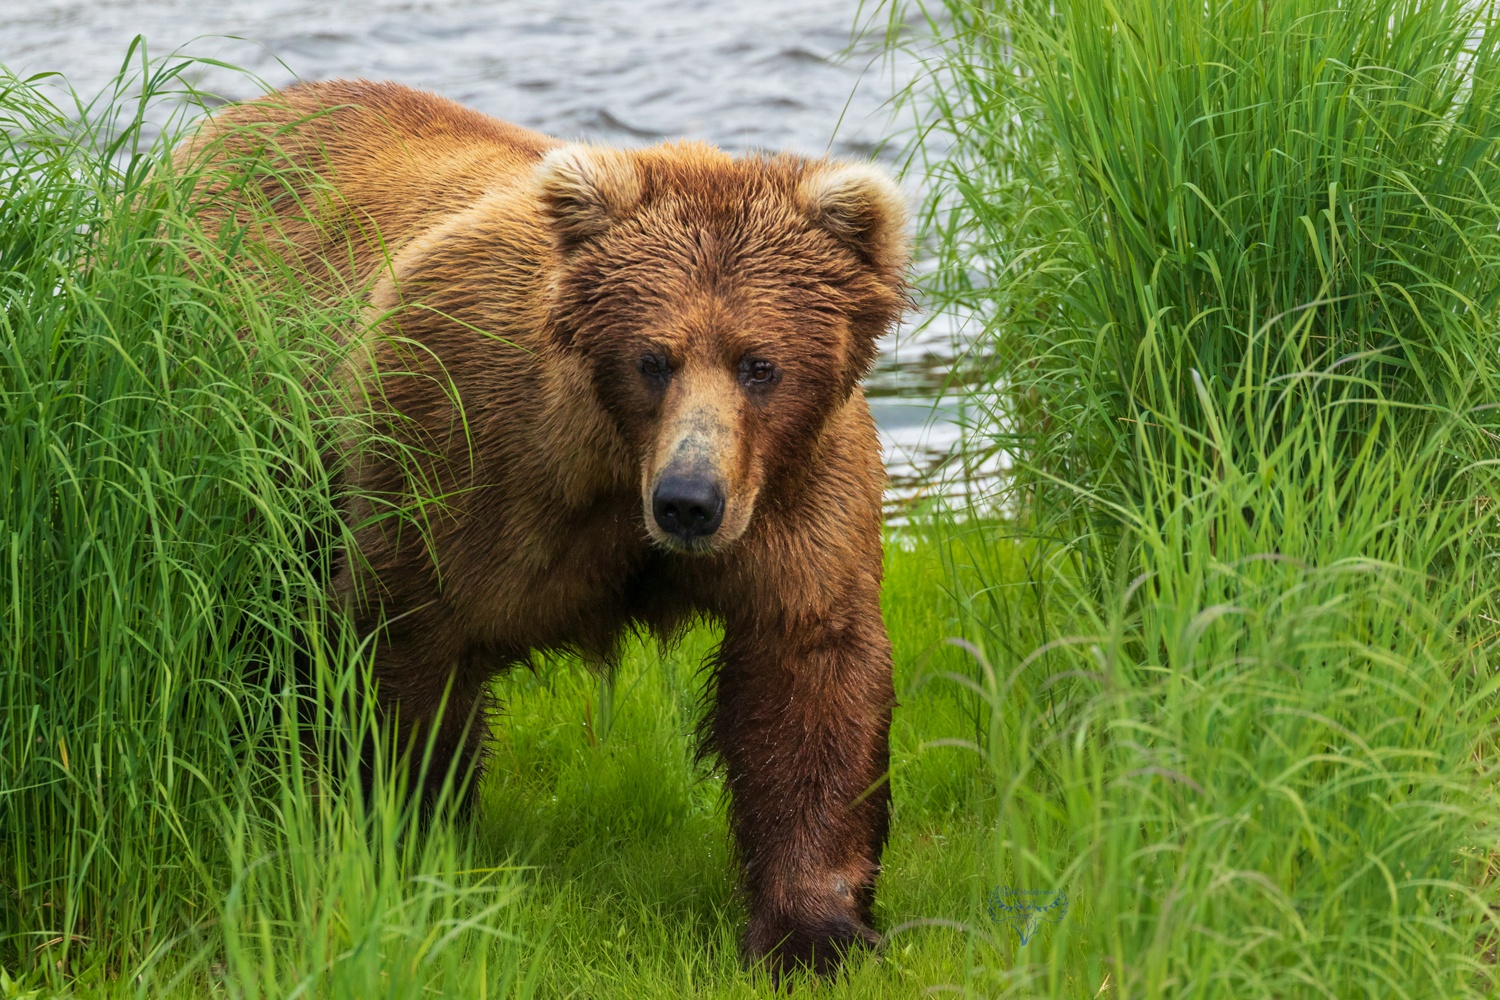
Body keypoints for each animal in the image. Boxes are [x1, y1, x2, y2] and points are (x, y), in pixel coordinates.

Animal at [175, 82, 900, 983]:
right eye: (652, 358)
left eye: (759, 364)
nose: (688, 501)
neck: (613, 473)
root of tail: (212, 129)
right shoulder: (461, 457)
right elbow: (398, 652)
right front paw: (402, 845)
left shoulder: (794, 494)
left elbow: (809, 673)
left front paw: (813, 932)